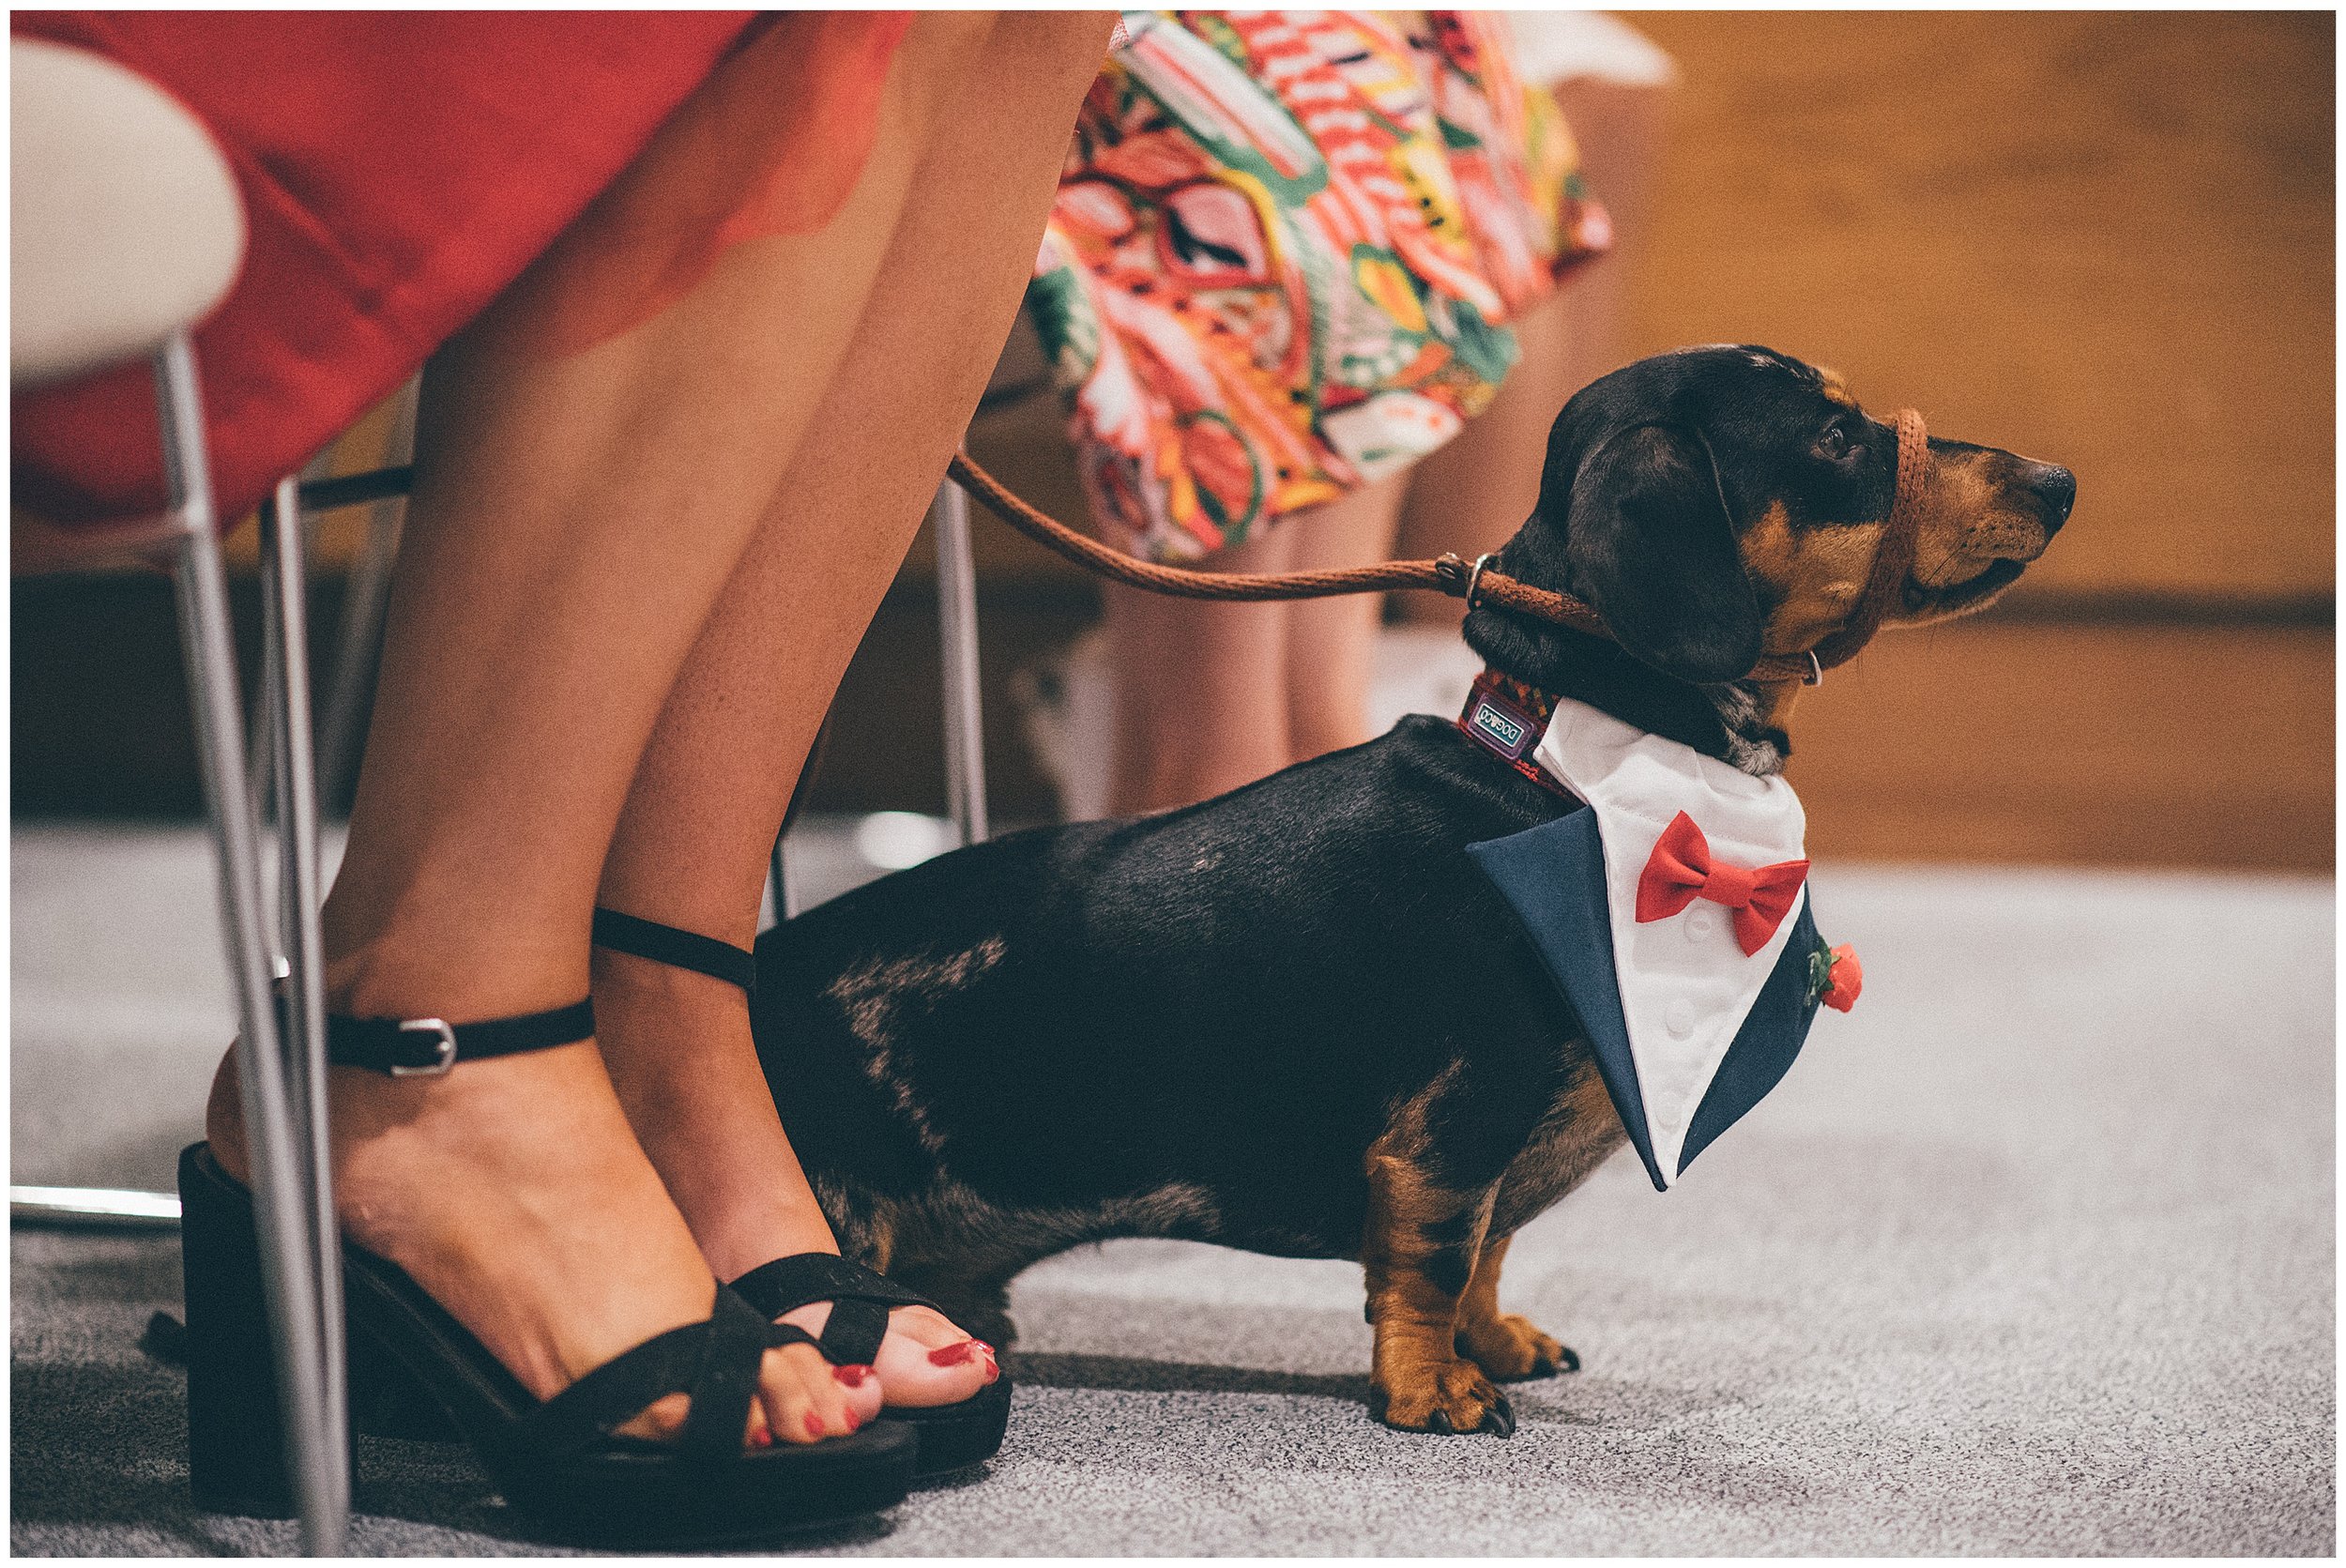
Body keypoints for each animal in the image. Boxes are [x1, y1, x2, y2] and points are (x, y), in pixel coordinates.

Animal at [751, 349, 2074, 1436]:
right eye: (1838, 439)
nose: (2060, 478)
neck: (1560, 771)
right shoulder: (1452, 1125)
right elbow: (1436, 1260)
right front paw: (1433, 1387)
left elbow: (1490, 1254)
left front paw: (1498, 1344)